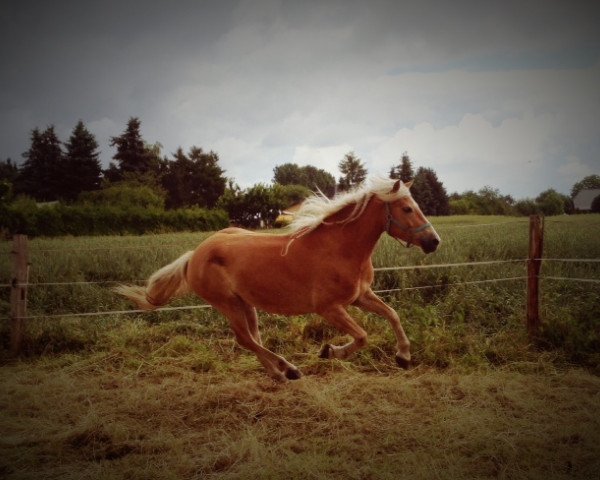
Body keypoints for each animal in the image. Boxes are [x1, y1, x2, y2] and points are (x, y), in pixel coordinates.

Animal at [115, 178, 440, 380]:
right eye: (407, 208)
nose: (434, 242)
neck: (340, 248)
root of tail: (196, 253)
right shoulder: (329, 308)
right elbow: (361, 337)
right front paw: (329, 351)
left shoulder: (361, 296)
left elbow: (393, 314)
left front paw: (403, 357)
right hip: (226, 304)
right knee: (245, 339)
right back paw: (290, 369)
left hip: (245, 303)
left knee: (252, 338)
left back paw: (278, 374)